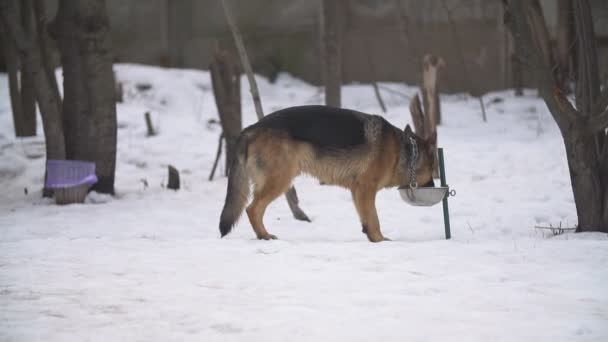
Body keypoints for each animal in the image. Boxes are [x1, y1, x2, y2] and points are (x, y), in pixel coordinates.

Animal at [218, 105, 436, 242]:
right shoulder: (366, 189)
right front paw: (380, 240)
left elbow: (367, 219)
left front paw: (371, 236)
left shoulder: (358, 192)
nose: (433, 188)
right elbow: (374, 218)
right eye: (434, 171)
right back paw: (264, 236)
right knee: (252, 209)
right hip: (280, 179)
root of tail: (251, 128)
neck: (405, 151)